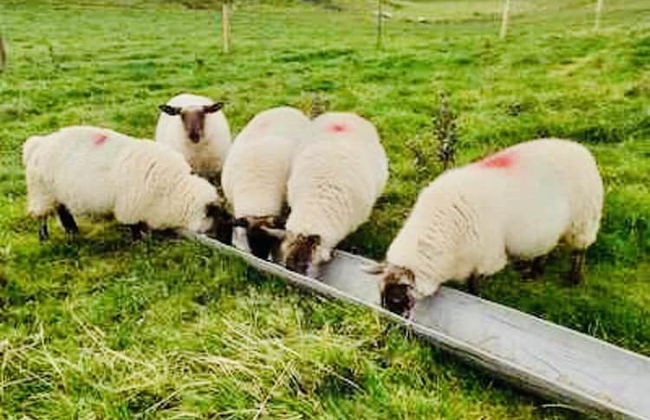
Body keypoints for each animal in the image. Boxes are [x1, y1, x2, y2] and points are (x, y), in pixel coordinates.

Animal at [23, 126, 229, 241]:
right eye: (217, 221)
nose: (223, 241)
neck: (176, 188)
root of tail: (37, 144)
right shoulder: (131, 206)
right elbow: (135, 226)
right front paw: (140, 241)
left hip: (57, 193)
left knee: (63, 210)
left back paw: (72, 231)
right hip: (42, 192)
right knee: (42, 217)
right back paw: (44, 237)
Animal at [365, 138, 604, 318]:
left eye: (397, 296)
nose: (391, 320)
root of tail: (579, 149)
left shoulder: (484, 257)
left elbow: (474, 284)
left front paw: (475, 298)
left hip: (583, 220)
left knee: (580, 250)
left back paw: (573, 278)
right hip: (551, 228)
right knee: (546, 248)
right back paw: (534, 272)